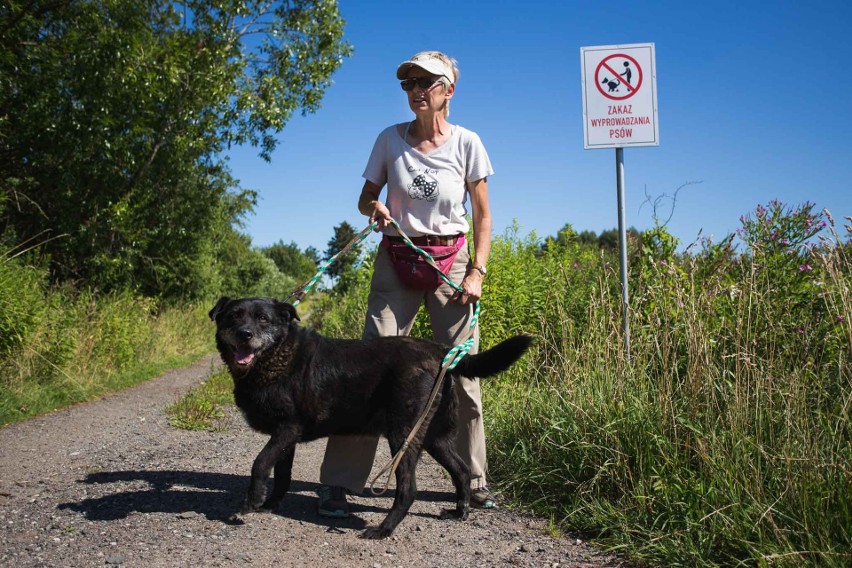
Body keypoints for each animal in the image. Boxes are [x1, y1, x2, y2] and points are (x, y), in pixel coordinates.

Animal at [210, 296, 528, 540]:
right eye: (234, 316)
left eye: (263, 319)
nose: (245, 334)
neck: (278, 356)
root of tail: (441, 353)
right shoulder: (286, 437)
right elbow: (282, 475)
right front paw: (270, 503)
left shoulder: (287, 429)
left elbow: (260, 461)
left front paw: (252, 500)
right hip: (434, 436)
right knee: (461, 471)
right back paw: (459, 512)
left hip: (403, 435)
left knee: (408, 490)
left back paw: (383, 530)